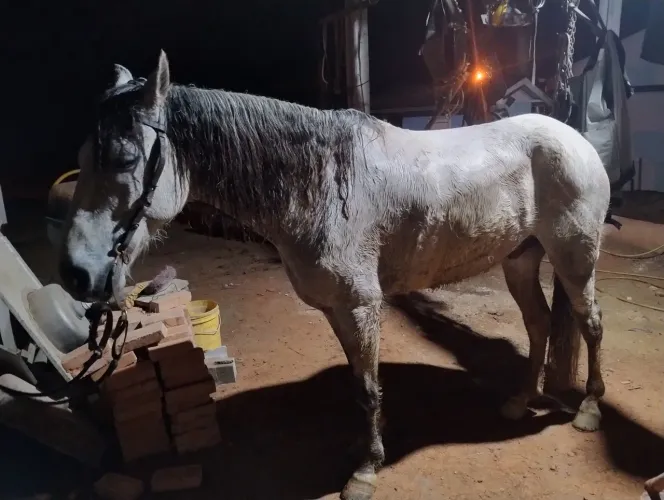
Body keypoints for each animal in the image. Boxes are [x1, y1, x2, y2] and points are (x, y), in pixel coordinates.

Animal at [58, 50, 610, 500]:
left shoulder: (361, 306)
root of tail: (575, 140)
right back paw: (521, 400)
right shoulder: (335, 310)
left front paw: (366, 471)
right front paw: (360, 448)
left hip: (575, 259)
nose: (77, 275)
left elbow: (368, 388)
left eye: (125, 159)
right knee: (538, 323)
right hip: (521, 260)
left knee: (590, 324)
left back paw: (588, 409)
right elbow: (357, 384)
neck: (320, 181)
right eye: (83, 158)